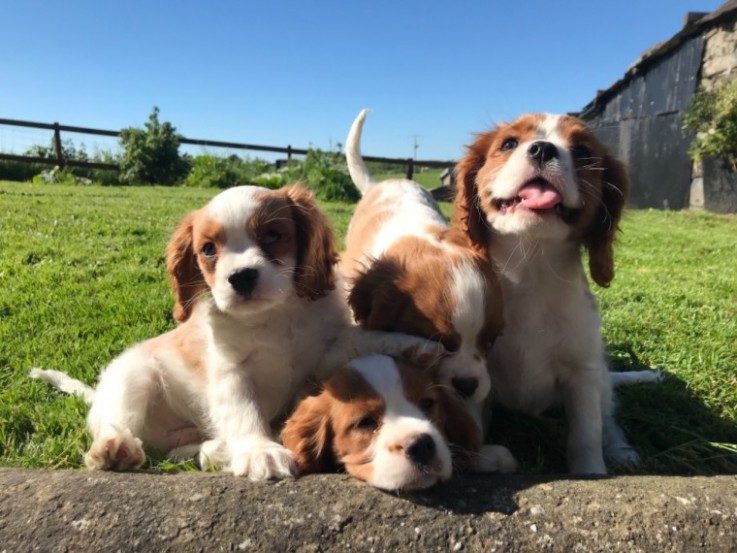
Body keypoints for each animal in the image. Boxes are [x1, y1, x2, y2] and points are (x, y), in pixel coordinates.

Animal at [31, 182, 436, 478]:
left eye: (272, 236)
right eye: (209, 249)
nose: (241, 276)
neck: (274, 316)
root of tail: (97, 394)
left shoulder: (325, 350)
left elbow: (357, 340)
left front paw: (412, 345)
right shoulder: (230, 369)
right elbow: (242, 408)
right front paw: (260, 450)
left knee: (181, 449)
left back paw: (214, 449)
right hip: (135, 377)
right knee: (116, 424)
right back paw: (115, 449)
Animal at [452, 113, 660, 474]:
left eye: (582, 152)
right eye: (509, 143)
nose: (542, 149)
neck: (531, 267)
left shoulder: (583, 375)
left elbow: (587, 435)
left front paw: (592, 473)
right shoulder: (475, 372)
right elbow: (472, 424)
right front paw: (483, 458)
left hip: (600, 377)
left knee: (608, 417)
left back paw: (620, 450)